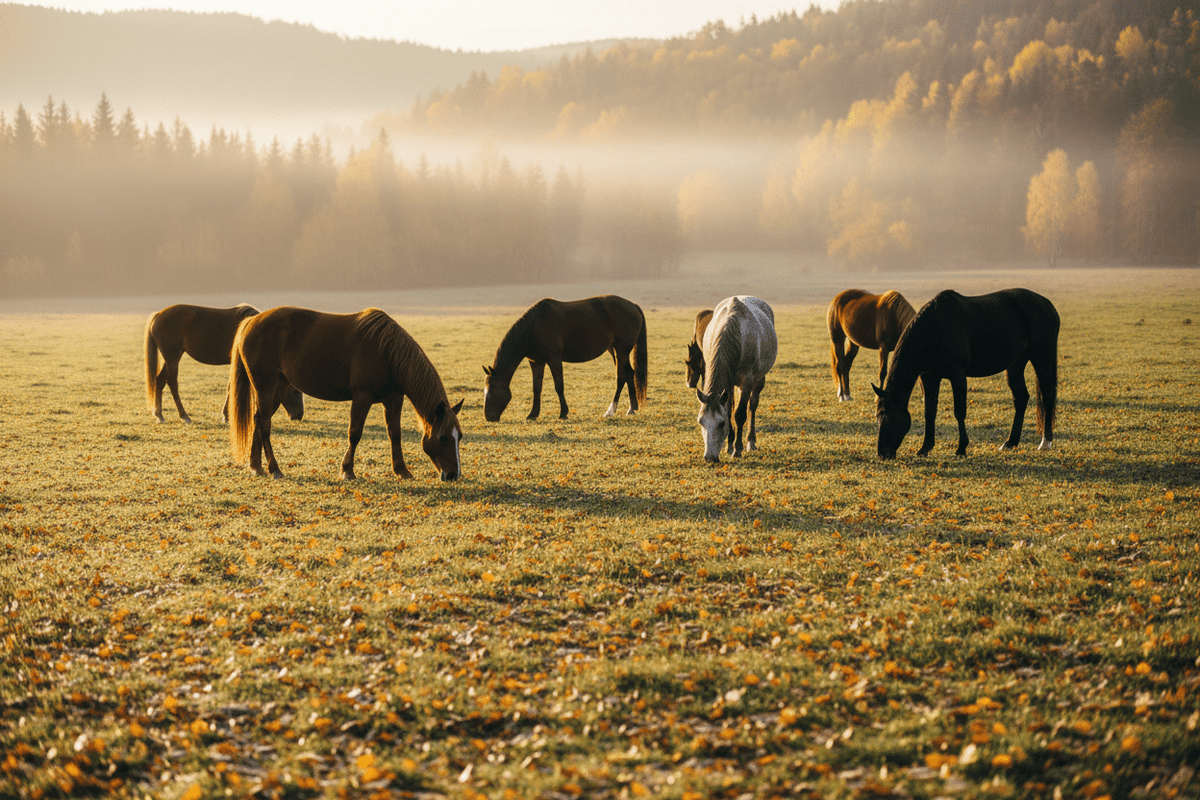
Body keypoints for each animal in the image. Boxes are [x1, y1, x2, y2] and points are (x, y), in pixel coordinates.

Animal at [144, 303, 304, 424]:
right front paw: (227, 415)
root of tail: (158, 315)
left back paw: (159, 415)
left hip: (170, 358)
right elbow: (232, 386)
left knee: (159, 380)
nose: (299, 415)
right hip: (173, 357)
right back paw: (184, 416)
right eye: (295, 392)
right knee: (172, 383)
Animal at [229, 307, 464, 481]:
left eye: (459, 436)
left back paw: (256, 466)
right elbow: (355, 433)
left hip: (278, 386)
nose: (453, 474)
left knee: (259, 419)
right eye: (443, 437)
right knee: (265, 424)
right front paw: (347, 470)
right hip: (265, 385)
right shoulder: (362, 398)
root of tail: (251, 321)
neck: (387, 351)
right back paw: (274, 468)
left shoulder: (394, 400)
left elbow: (395, 434)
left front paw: (402, 471)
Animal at [483, 295, 648, 422]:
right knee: (629, 373)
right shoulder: (536, 362)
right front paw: (532, 414)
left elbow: (559, 386)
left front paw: (563, 413)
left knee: (621, 377)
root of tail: (633, 305)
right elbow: (536, 388)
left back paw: (610, 411)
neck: (533, 328)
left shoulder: (554, 359)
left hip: (621, 350)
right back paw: (632, 408)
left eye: (491, 391)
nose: (488, 417)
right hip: (616, 351)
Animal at [695, 296, 777, 462]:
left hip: (759, 378)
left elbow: (739, 414)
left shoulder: (747, 381)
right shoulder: (728, 384)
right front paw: (729, 446)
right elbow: (729, 410)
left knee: (752, 405)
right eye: (701, 421)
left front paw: (737, 449)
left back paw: (751, 442)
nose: (709, 458)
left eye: (721, 424)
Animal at [874, 288, 1059, 459]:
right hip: (1016, 364)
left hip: (1043, 358)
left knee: (1047, 396)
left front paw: (961, 448)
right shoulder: (929, 377)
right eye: (878, 416)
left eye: (891, 417)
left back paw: (1045, 442)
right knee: (1021, 398)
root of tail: (1047, 304)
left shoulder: (958, 376)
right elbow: (929, 412)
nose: (883, 454)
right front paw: (925, 448)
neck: (936, 329)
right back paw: (1010, 442)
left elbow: (959, 411)